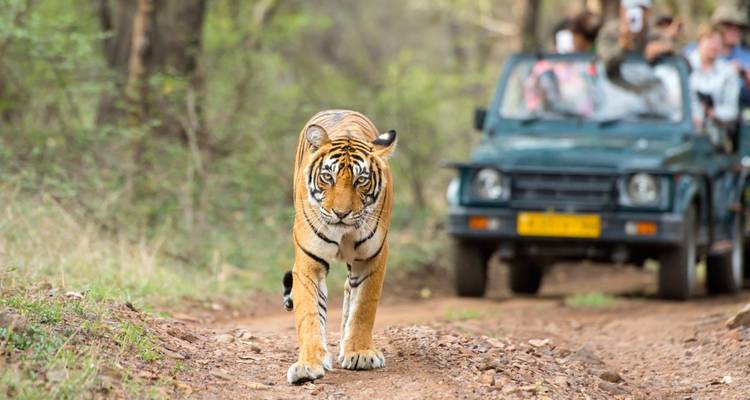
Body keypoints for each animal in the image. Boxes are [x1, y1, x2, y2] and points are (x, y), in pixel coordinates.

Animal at [282, 110, 397, 384]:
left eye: (361, 180)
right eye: (328, 177)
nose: (341, 213)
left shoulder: (372, 258)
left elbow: (363, 306)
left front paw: (360, 352)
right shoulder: (308, 262)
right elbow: (310, 314)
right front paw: (308, 364)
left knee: (349, 292)